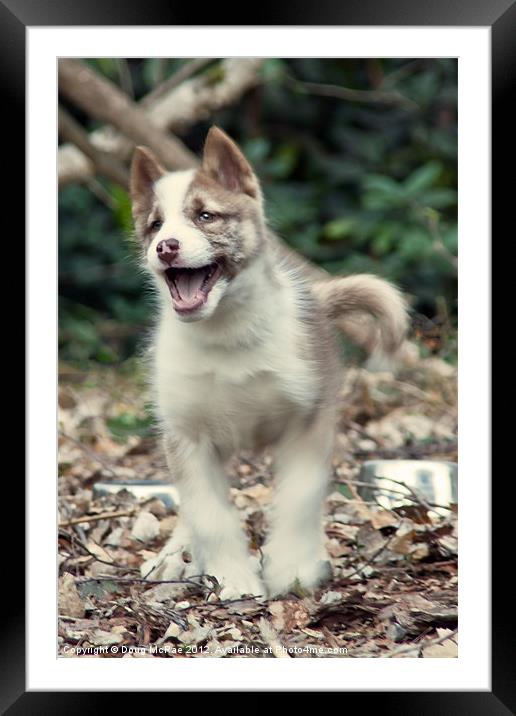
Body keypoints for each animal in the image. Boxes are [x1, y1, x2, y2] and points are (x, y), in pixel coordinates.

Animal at [129, 129, 408, 600]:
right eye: (154, 225)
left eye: (205, 215)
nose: (166, 247)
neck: (227, 335)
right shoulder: (187, 436)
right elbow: (208, 514)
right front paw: (234, 580)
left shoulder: (308, 421)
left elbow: (299, 498)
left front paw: (292, 569)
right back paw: (174, 555)